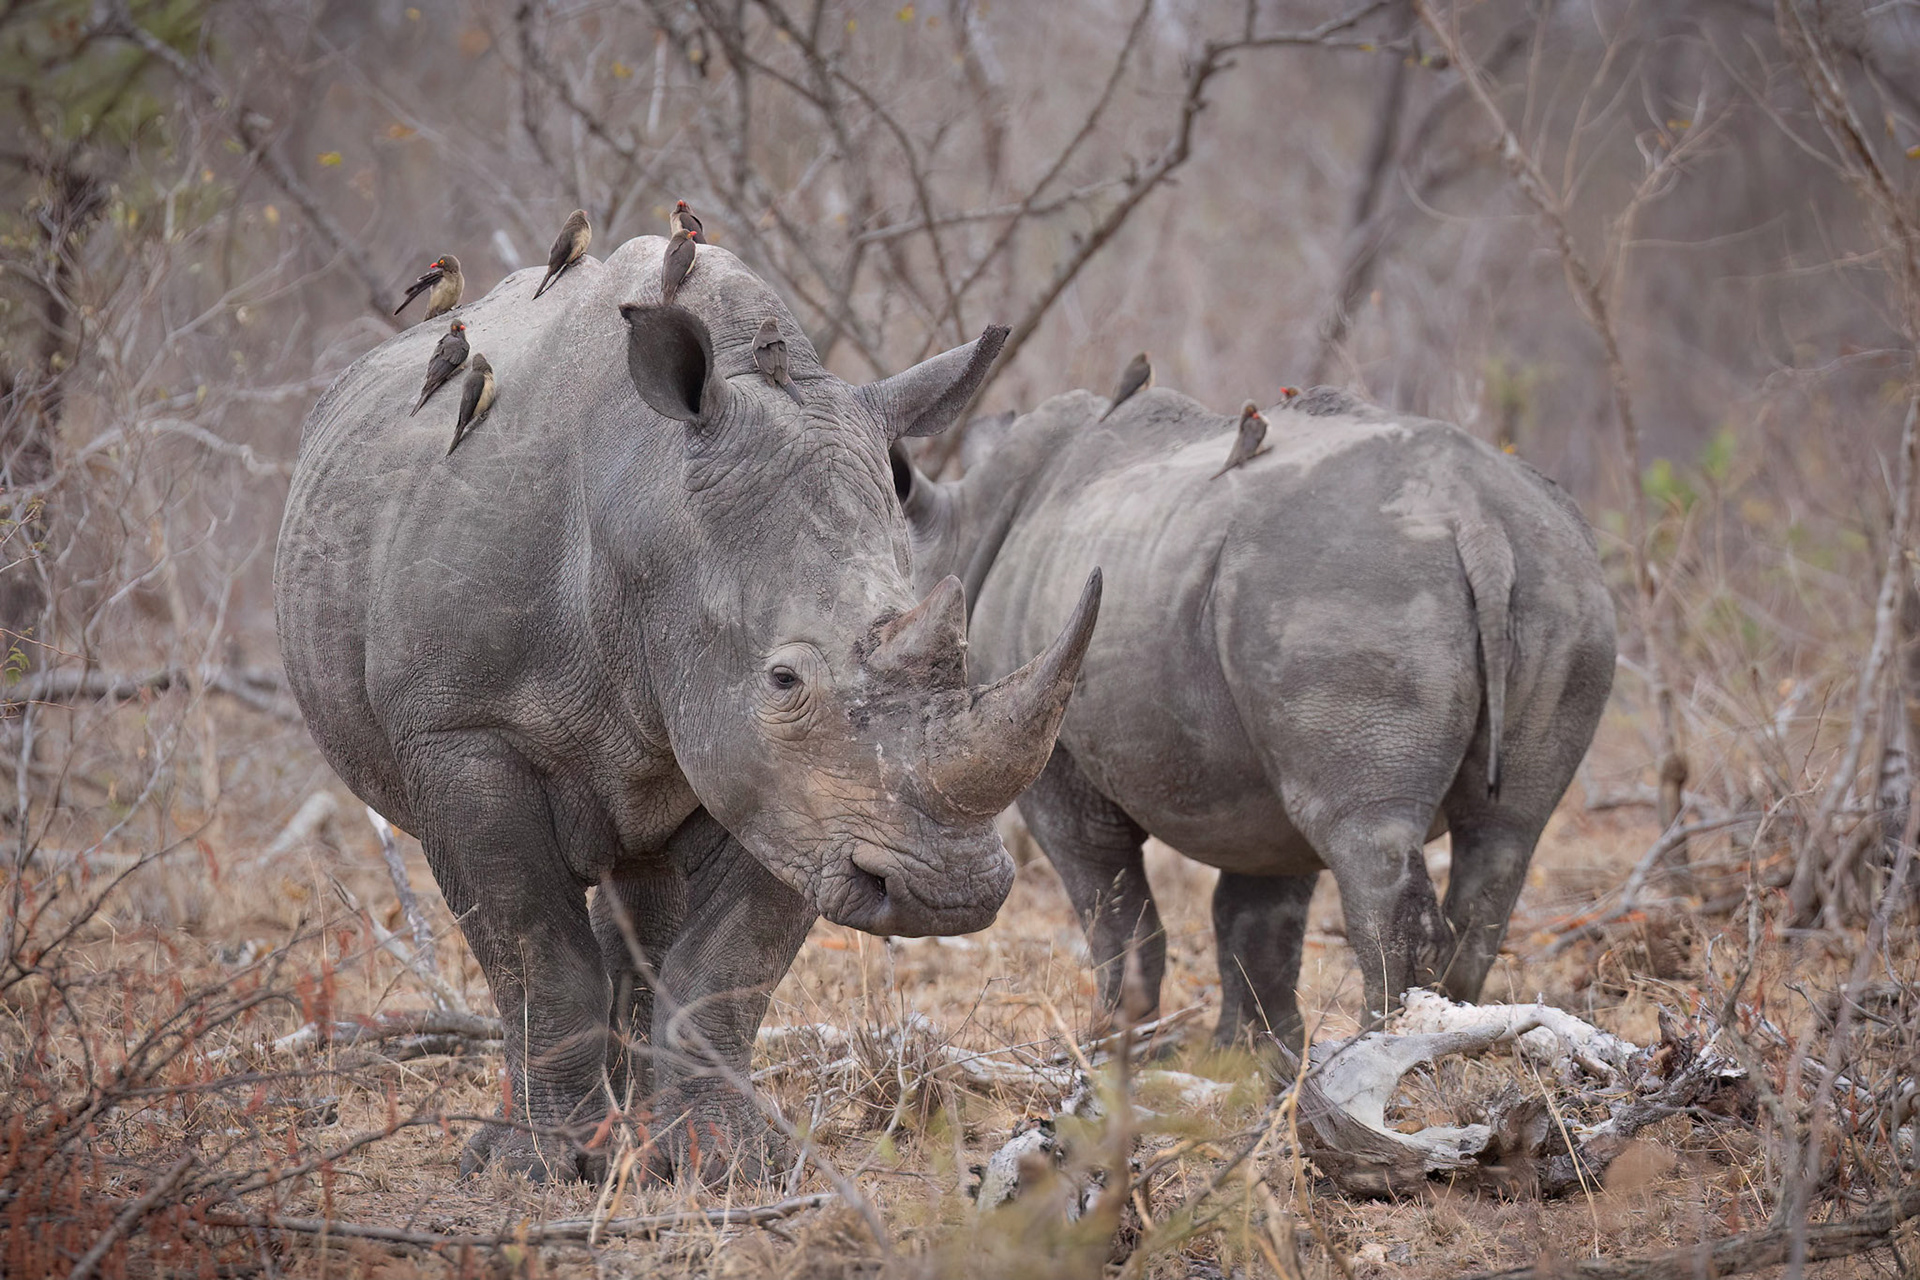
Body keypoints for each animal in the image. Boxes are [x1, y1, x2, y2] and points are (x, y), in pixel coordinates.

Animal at [274, 238, 1101, 1181]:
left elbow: (727, 965)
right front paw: (542, 1170)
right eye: (783, 681)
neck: (651, 523)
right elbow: (533, 955)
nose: (949, 893)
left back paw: (641, 1133)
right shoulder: (463, 730)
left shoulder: (791, 795)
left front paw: (728, 1164)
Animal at [892, 386, 1615, 1049]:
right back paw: (1444, 1037)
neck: (960, 527)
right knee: (1503, 838)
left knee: (1366, 838)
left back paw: (1372, 1051)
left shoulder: (1053, 750)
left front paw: (1113, 1043)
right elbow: (1254, 918)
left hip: (1349, 582)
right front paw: (1250, 1059)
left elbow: (1111, 901)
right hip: (1563, 582)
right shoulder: (1260, 794)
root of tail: (1477, 519)